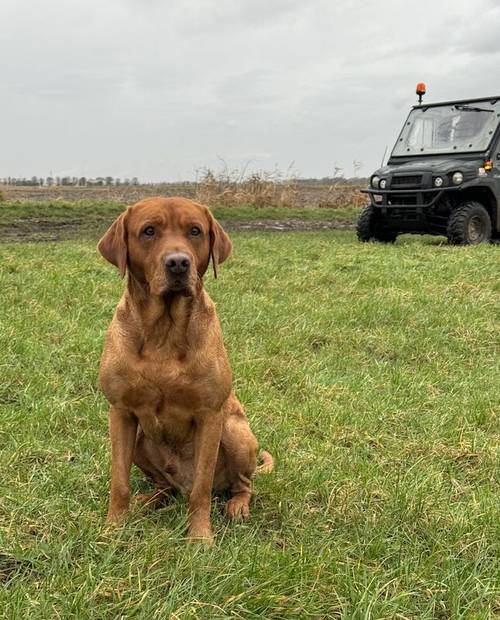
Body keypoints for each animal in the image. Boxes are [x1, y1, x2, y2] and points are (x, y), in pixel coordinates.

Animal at [97, 196, 274, 540]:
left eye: (195, 231)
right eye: (149, 231)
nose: (178, 263)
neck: (164, 331)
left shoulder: (210, 415)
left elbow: (201, 490)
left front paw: (200, 536)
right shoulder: (120, 412)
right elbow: (119, 481)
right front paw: (114, 528)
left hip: (235, 431)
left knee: (240, 484)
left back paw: (238, 506)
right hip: (141, 440)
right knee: (164, 486)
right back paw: (148, 499)